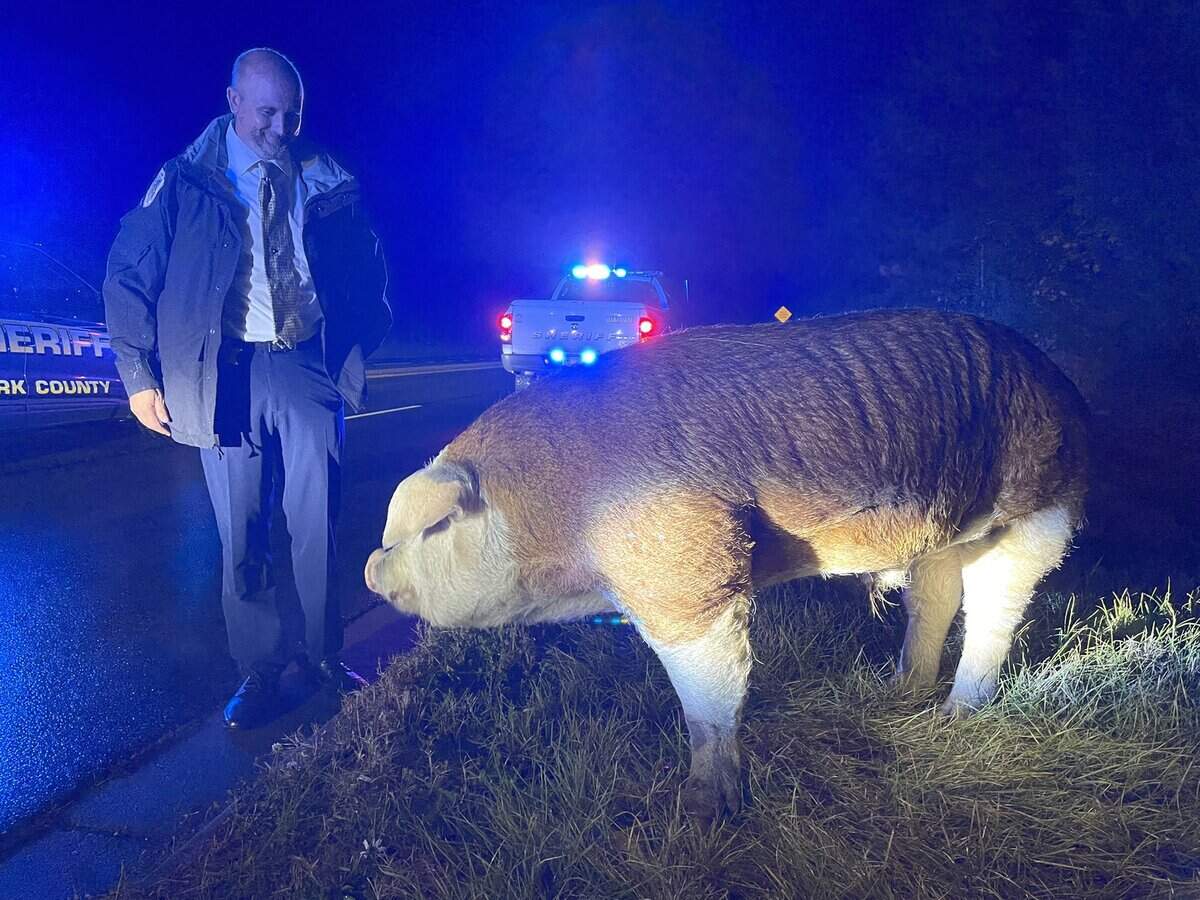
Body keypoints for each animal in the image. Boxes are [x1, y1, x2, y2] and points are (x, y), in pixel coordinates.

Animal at [365, 308, 1088, 824]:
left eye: (430, 527)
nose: (371, 570)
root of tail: (1063, 383)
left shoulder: (685, 570)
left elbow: (707, 695)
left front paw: (701, 808)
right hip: (939, 535)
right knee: (934, 596)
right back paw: (896, 689)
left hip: (1038, 507)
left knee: (995, 606)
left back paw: (956, 716)